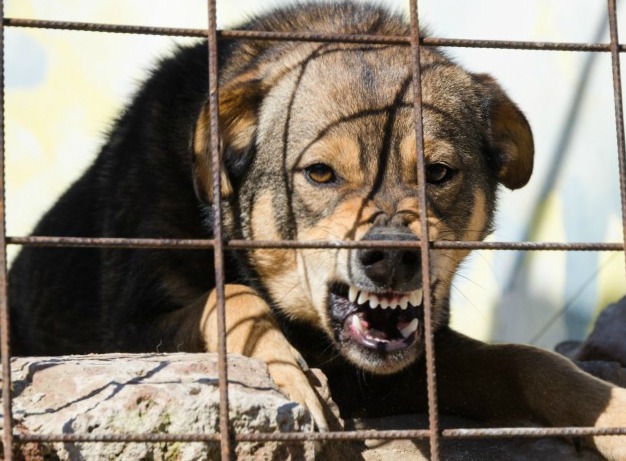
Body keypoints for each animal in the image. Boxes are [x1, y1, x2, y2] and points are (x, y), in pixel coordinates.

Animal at [8, 1, 624, 458]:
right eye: (321, 173)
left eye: (438, 173)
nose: (394, 257)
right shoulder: (127, 333)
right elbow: (230, 295)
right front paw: (286, 369)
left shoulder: (400, 369)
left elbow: (531, 359)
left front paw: (612, 410)